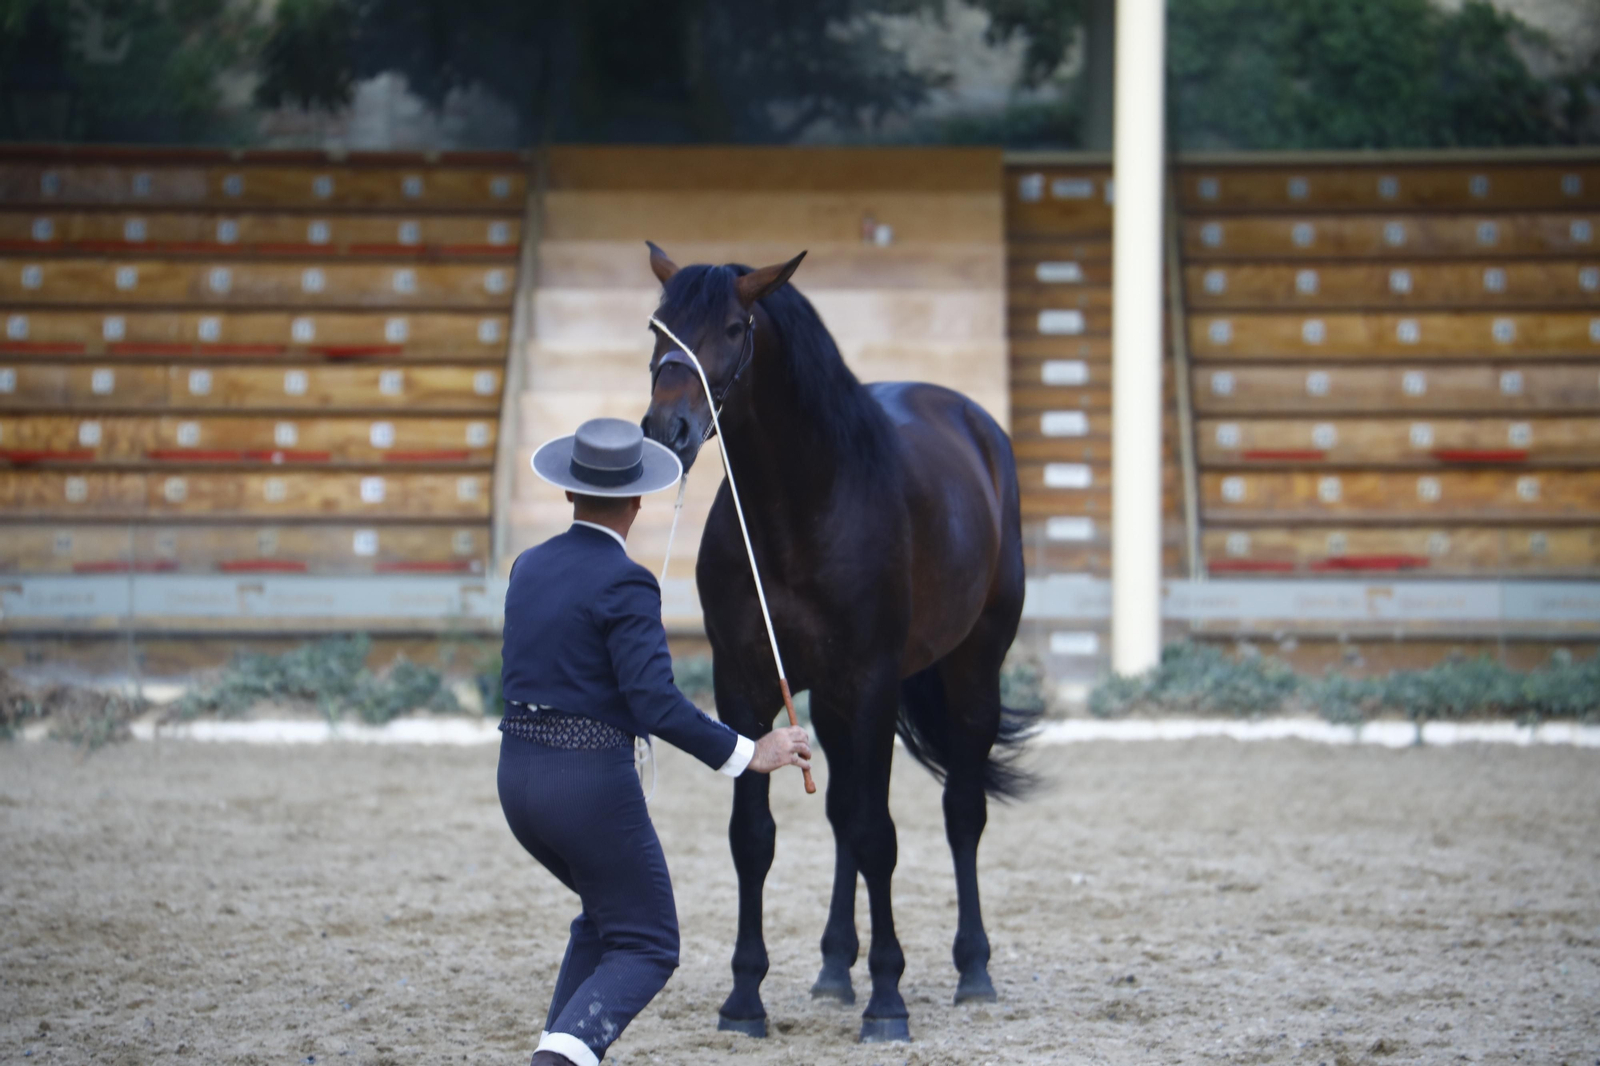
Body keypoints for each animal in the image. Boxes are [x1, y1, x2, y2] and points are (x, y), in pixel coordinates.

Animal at [639, 243, 1036, 1044]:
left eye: (733, 328)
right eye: (657, 328)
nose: (667, 429)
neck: (799, 510)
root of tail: (976, 424)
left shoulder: (873, 683)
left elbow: (879, 832)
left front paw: (888, 1000)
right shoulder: (747, 688)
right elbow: (756, 836)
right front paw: (745, 999)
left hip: (973, 670)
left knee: (961, 812)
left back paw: (972, 971)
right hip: (826, 703)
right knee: (842, 815)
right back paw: (833, 970)